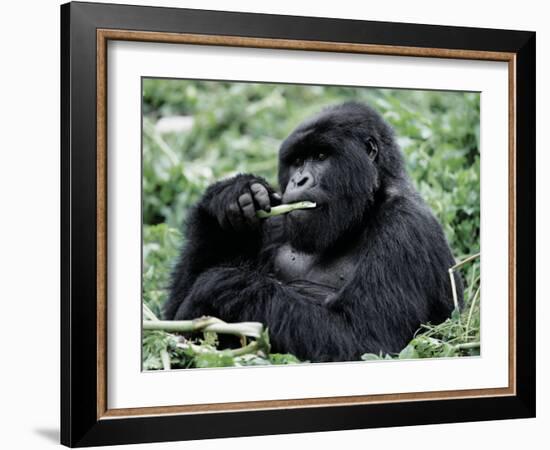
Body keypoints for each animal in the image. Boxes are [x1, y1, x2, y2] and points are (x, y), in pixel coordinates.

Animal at [165, 102, 466, 362]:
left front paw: (222, 285)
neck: (365, 208)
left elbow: (366, 341)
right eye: (298, 161)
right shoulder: (276, 218)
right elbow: (172, 316)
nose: (299, 180)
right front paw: (230, 195)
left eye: (321, 156)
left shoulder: (406, 228)